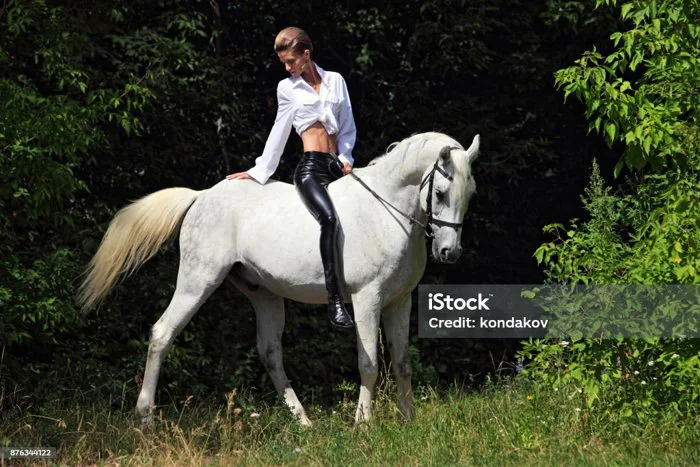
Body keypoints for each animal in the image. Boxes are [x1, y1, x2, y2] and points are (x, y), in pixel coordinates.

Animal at [78, 131, 480, 426]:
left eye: (470, 194)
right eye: (440, 193)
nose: (450, 252)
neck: (386, 211)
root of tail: (201, 197)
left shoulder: (399, 300)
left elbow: (402, 362)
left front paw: (409, 421)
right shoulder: (368, 299)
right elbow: (369, 364)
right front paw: (363, 425)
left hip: (264, 294)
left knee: (270, 353)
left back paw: (303, 423)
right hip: (197, 280)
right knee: (162, 333)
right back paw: (145, 418)